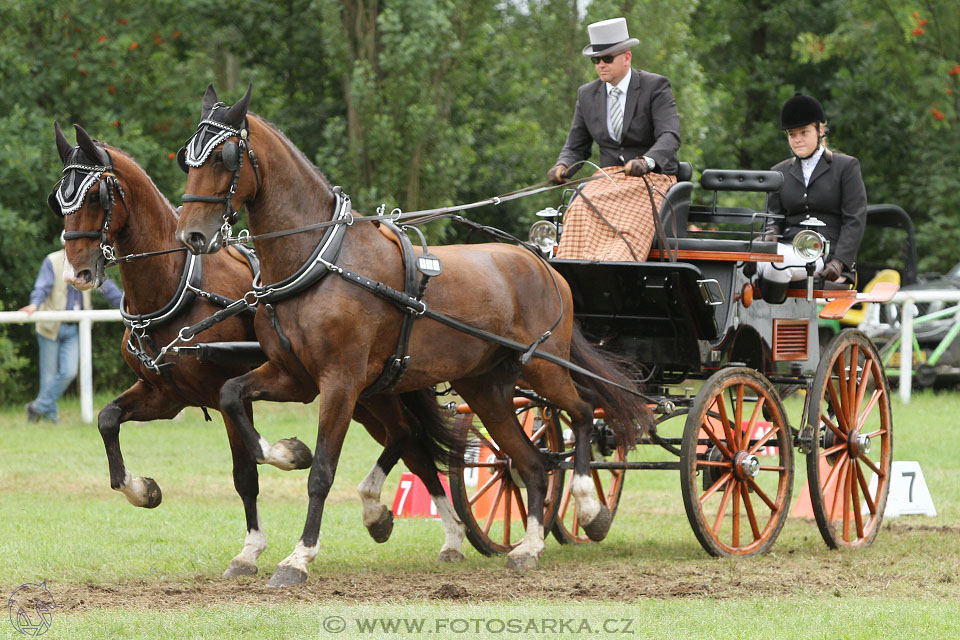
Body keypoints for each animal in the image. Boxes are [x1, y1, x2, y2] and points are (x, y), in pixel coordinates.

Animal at [50, 124, 466, 580]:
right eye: (59, 200)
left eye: (95, 197)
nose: (76, 274)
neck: (177, 283)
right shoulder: (166, 394)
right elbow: (108, 420)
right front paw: (142, 490)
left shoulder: (224, 392)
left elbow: (247, 471)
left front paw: (255, 538)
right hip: (365, 395)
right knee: (411, 441)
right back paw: (416, 526)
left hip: (363, 390)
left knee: (411, 441)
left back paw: (443, 533)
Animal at [172, 86, 652, 592]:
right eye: (188, 157)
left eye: (224, 156)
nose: (191, 235)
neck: (320, 260)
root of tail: (541, 262)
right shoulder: (292, 375)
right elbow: (231, 394)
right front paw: (284, 453)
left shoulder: (341, 383)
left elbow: (322, 473)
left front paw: (299, 557)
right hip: (486, 388)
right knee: (533, 463)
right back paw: (529, 546)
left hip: (543, 366)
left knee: (582, 411)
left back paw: (589, 507)